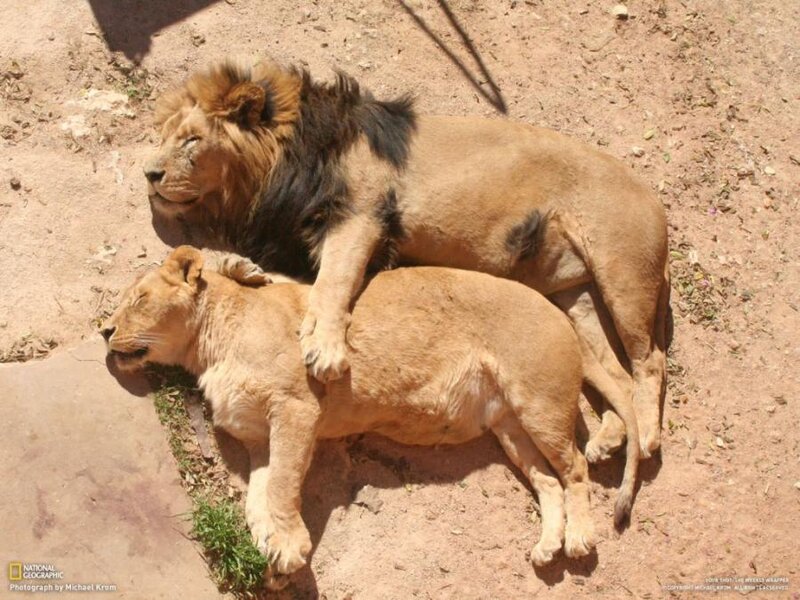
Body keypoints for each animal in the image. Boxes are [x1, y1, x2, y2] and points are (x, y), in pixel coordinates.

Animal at [101, 247, 640, 586]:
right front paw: (268, 549)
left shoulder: (296, 408)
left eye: (139, 299)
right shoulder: (258, 438)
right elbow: (257, 496)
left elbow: (282, 485)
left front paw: (290, 547)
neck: (207, 348)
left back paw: (579, 538)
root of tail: (559, 311)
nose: (105, 330)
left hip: (540, 403)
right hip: (509, 427)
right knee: (549, 481)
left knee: (576, 468)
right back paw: (548, 544)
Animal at [144, 60, 669, 459]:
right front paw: (245, 273)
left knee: (650, 361)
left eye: (192, 140)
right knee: (614, 372)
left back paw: (645, 437)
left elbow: (333, 282)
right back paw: (610, 438)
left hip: (624, 276)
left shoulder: (362, 214)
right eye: (164, 136)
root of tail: (655, 198)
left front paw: (325, 349)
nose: (149, 173)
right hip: (572, 296)